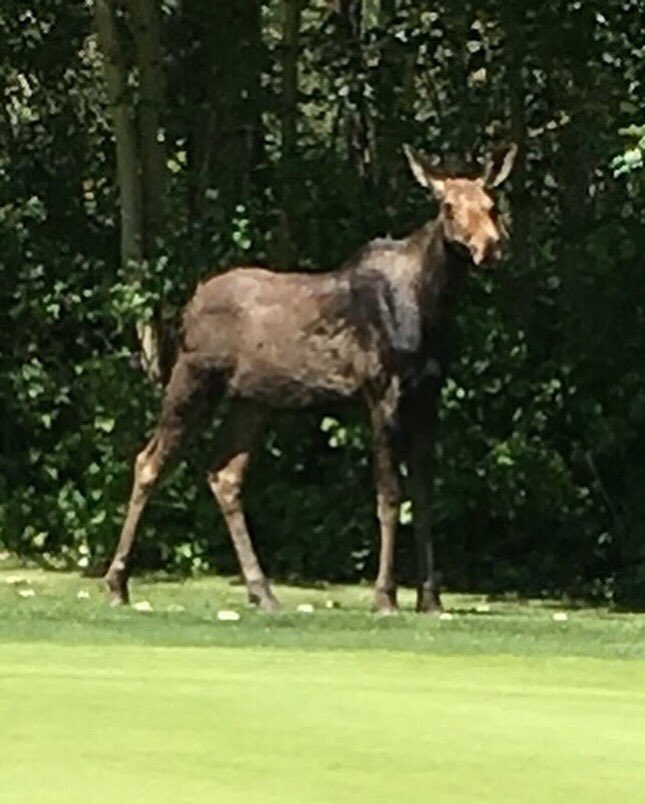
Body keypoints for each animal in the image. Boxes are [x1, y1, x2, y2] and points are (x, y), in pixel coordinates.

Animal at [104, 143, 517, 614]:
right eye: (447, 206)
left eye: (491, 204)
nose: (491, 246)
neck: (432, 307)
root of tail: (187, 308)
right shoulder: (382, 393)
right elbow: (390, 495)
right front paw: (385, 596)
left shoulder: (428, 394)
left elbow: (425, 494)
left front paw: (430, 599)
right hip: (193, 377)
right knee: (149, 461)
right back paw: (117, 582)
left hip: (253, 400)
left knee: (224, 475)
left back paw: (262, 590)